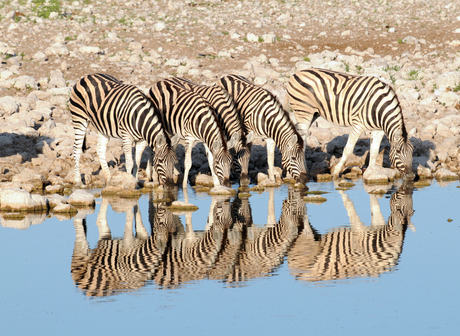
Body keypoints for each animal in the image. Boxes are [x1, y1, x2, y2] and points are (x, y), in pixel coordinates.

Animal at [286, 67, 416, 180]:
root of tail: (297, 73)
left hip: (313, 113)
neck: (378, 107)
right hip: (303, 112)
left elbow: (374, 151)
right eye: (398, 151)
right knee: (302, 138)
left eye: (412, 151)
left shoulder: (378, 129)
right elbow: (348, 149)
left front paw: (372, 172)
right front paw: (336, 171)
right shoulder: (357, 124)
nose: (411, 176)